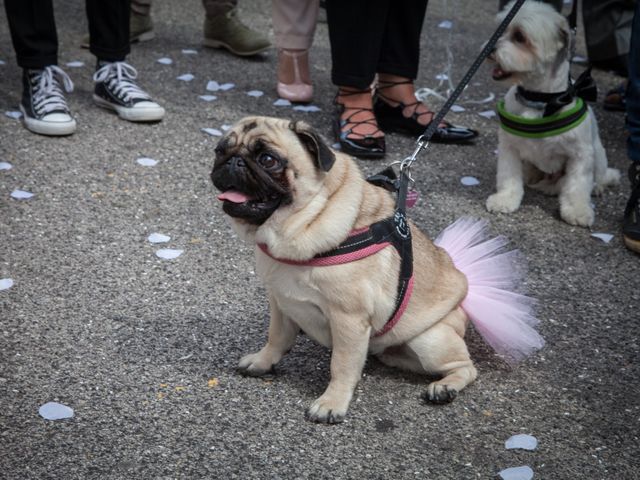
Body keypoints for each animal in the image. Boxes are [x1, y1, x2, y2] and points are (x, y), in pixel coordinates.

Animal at [212, 116, 544, 424]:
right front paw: (263, 361)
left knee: (466, 367)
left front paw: (332, 403)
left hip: (430, 339)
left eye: (268, 159)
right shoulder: (281, 302)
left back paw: (445, 387)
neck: (300, 225)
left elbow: (342, 365)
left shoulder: (348, 318)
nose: (233, 161)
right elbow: (276, 338)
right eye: (219, 150)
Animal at [484, 0, 620, 226]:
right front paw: (505, 199)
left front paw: (577, 210)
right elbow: (508, 176)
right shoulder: (509, 147)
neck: (539, 99)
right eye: (500, 29)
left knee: (596, 178)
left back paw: (596, 186)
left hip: (599, 155)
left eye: (520, 36)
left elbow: (577, 186)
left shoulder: (581, 155)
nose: (489, 49)